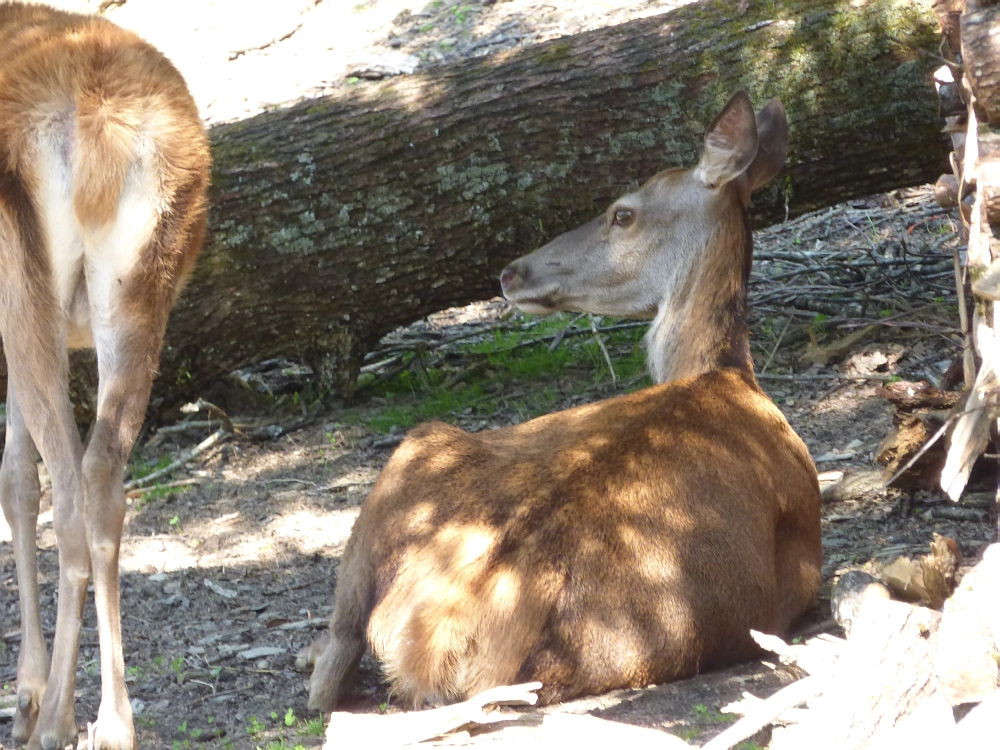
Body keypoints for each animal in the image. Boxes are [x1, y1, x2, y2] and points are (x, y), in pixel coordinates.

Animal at [0, 2, 209, 748]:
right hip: (139, 295)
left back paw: (56, 717)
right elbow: (14, 475)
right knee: (102, 477)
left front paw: (26, 694)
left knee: (66, 488)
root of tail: (96, 128)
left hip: (26, 291)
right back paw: (115, 720)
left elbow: (14, 481)